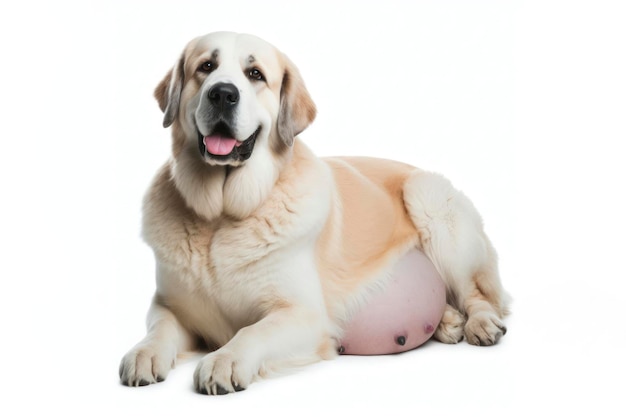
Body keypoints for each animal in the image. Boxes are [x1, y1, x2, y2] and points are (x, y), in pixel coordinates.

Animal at [118, 31, 508, 394]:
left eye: (255, 74)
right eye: (206, 67)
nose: (223, 94)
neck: (220, 219)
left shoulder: (302, 315)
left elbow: (252, 332)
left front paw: (224, 360)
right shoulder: (168, 305)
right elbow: (159, 327)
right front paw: (144, 353)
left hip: (428, 198)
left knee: (477, 292)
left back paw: (481, 324)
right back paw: (448, 321)